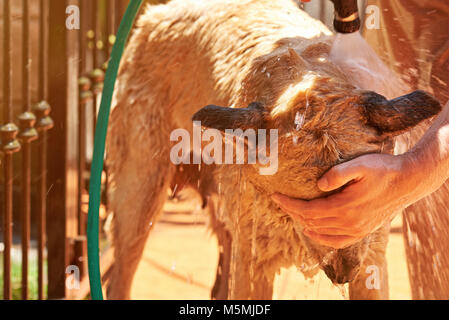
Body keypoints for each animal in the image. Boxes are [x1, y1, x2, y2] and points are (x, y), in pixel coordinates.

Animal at [107, 0, 440, 300]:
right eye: (312, 214)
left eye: (355, 209)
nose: (345, 274)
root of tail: (157, 13)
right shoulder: (254, 262)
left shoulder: (373, 255)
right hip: (139, 200)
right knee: (119, 275)